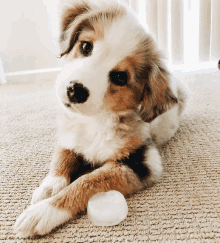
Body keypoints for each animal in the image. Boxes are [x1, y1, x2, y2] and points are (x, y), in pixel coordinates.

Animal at [14, 0, 188, 238]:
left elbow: (88, 181)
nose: (75, 91)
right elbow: (62, 157)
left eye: (120, 77)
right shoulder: (68, 133)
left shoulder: (141, 162)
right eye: (86, 47)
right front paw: (49, 186)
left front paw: (43, 212)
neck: (94, 121)